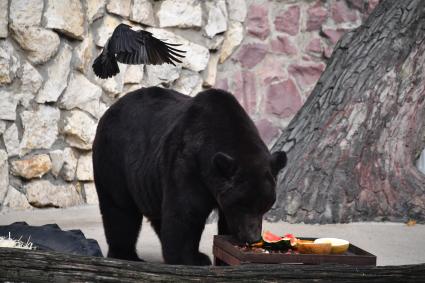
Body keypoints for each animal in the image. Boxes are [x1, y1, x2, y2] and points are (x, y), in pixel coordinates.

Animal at [92, 87, 284, 266]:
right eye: (241, 204)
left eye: (265, 205)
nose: (252, 237)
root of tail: (110, 109)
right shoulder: (188, 162)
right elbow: (185, 212)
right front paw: (193, 258)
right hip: (114, 158)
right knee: (120, 209)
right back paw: (127, 254)